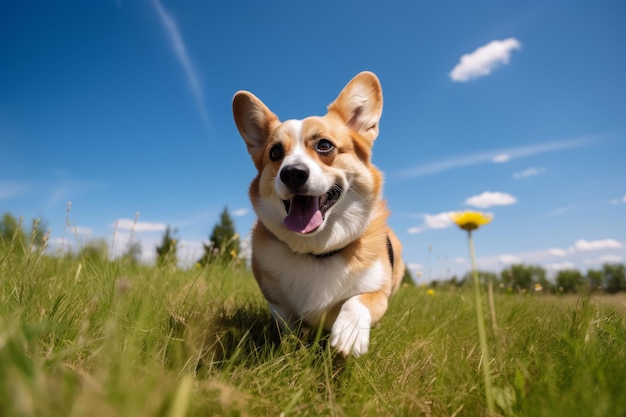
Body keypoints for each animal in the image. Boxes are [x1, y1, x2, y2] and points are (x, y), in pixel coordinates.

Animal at [232, 70, 402, 354]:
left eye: (324, 145)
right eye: (275, 152)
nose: (292, 173)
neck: (317, 250)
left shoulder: (377, 290)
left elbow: (358, 300)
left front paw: (349, 334)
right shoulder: (277, 302)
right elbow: (286, 325)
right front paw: (290, 347)